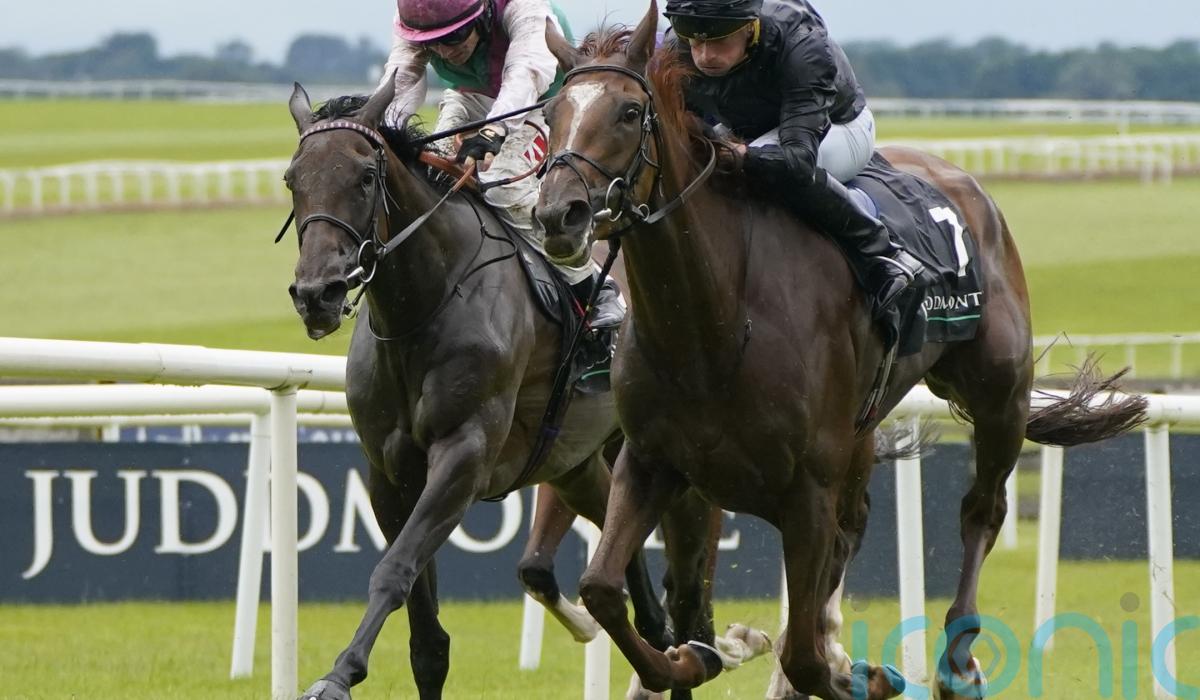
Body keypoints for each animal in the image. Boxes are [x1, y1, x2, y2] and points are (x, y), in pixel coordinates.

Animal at [281, 79, 686, 700]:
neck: (423, 306)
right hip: (575, 460)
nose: (316, 294)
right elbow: (427, 639)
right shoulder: (390, 474)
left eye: (365, 176)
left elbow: (393, 570)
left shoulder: (464, 454)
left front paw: (338, 675)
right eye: (292, 179)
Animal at [533, 5, 1149, 699]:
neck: (715, 324)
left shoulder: (807, 488)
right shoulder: (650, 461)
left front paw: (857, 675)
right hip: (863, 428)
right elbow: (605, 589)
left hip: (998, 396)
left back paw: (957, 662)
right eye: (551, 112)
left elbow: (803, 652)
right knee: (856, 526)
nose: (559, 214)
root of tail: (964, 183)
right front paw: (696, 657)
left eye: (629, 111)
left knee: (981, 511)